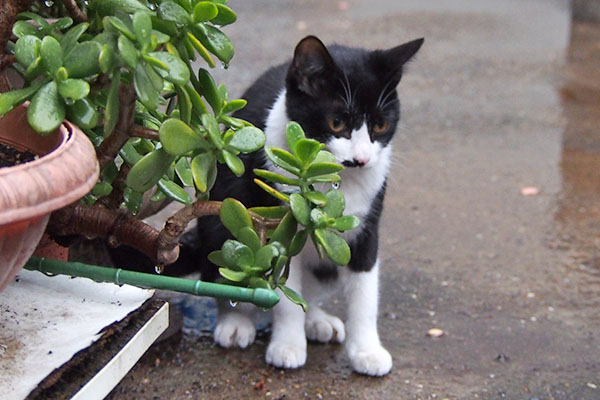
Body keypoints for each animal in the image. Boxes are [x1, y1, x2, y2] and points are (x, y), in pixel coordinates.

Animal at [191, 34, 422, 376]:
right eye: (336, 122)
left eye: (381, 126)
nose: (362, 159)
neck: (332, 181)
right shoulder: (279, 230)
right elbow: (285, 293)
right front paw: (287, 346)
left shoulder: (367, 229)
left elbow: (365, 292)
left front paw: (367, 350)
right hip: (220, 221)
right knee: (224, 276)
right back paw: (235, 323)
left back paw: (317, 321)